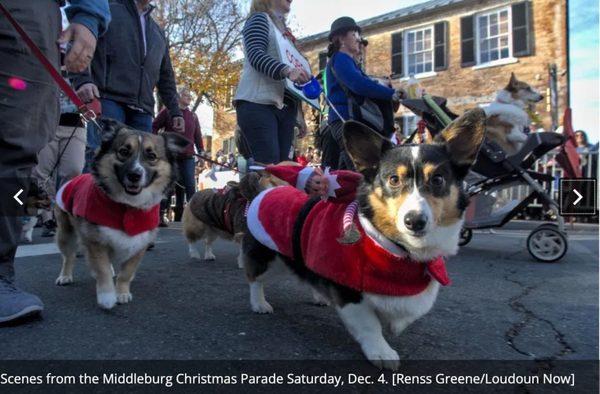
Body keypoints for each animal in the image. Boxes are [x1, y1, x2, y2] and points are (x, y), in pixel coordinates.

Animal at [56, 118, 189, 310]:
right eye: (124, 152)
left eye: (152, 156)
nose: (134, 175)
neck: (127, 205)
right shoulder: (96, 240)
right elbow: (102, 269)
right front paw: (107, 296)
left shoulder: (139, 244)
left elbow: (126, 272)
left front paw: (122, 292)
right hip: (66, 233)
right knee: (69, 256)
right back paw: (65, 276)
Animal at [244, 108, 488, 370]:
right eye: (393, 179)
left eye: (438, 179)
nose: (414, 221)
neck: (398, 248)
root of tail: (267, 190)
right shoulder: (351, 295)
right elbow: (370, 325)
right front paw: (382, 352)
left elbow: (403, 315)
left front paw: (393, 325)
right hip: (268, 258)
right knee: (255, 279)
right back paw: (259, 304)